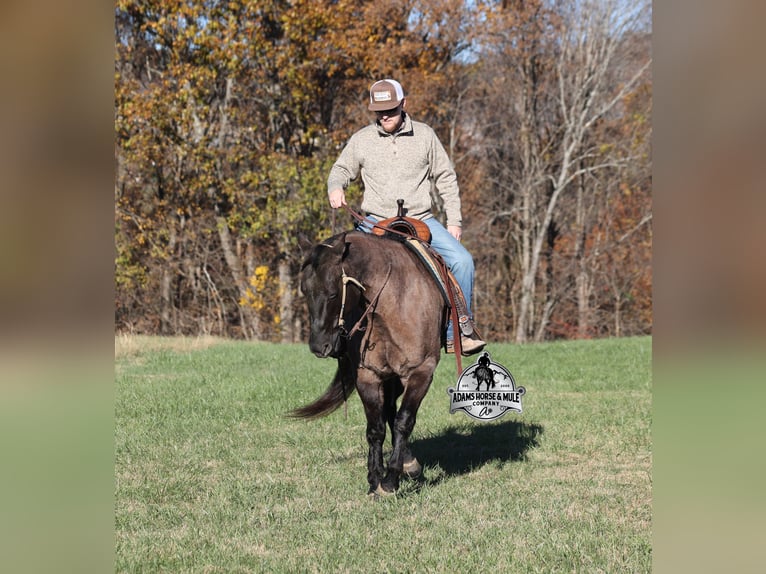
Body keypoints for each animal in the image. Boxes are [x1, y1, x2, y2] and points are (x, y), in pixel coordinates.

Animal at [290, 230, 447, 496]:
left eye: (333, 293)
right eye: (304, 290)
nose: (318, 346)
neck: (393, 303)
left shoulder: (421, 373)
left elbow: (404, 422)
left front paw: (390, 481)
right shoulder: (368, 375)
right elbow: (375, 428)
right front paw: (375, 479)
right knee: (389, 412)